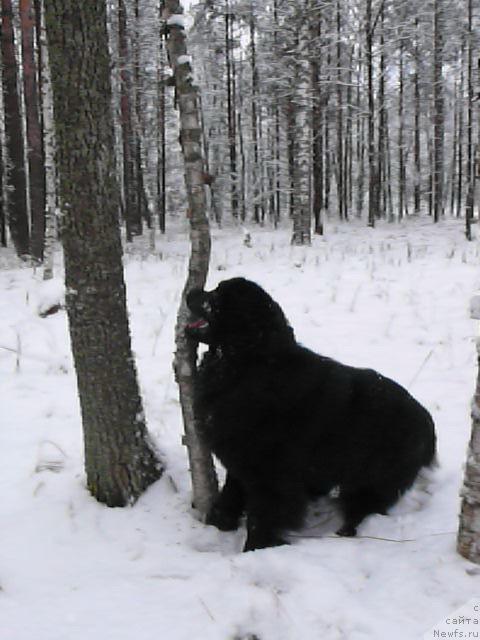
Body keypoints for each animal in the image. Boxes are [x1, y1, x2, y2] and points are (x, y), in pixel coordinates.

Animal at [186, 278, 436, 552]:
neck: (248, 364)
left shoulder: (271, 474)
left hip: (374, 478)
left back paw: (346, 532)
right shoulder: (241, 459)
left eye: (216, 297)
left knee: (364, 507)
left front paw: (255, 548)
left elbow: (262, 514)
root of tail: (427, 423)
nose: (191, 292)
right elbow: (231, 494)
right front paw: (219, 523)